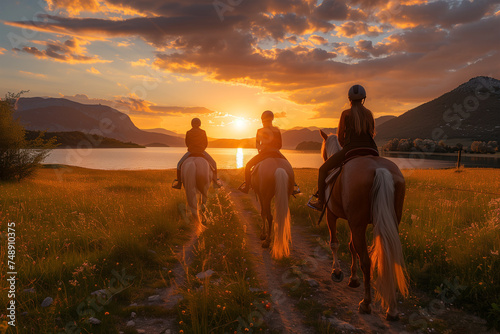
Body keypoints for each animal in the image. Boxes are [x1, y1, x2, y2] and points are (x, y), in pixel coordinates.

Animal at [318, 130, 408, 318]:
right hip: (388, 222)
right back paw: (392, 309)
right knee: (389, 256)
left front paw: (337, 272)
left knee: (367, 262)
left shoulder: (332, 216)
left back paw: (366, 303)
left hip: (357, 224)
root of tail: (380, 170)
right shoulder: (354, 223)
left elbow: (335, 243)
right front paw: (353, 279)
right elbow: (352, 246)